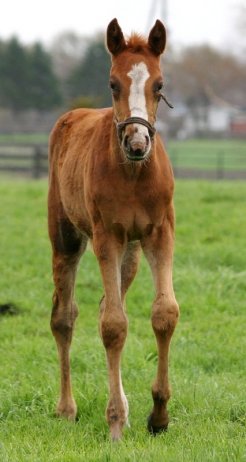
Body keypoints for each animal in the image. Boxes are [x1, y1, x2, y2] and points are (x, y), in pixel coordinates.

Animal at [48, 18, 179, 440]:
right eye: (112, 84)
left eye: (159, 84)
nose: (137, 142)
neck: (134, 172)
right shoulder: (106, 236)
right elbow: (113, 326)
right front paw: (116, 426)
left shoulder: (159, 233)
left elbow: (163, 313)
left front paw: (158, 416)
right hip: (67, 238)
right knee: (64, 316)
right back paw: (67, 408)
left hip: (131, 252)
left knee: (108, 302)